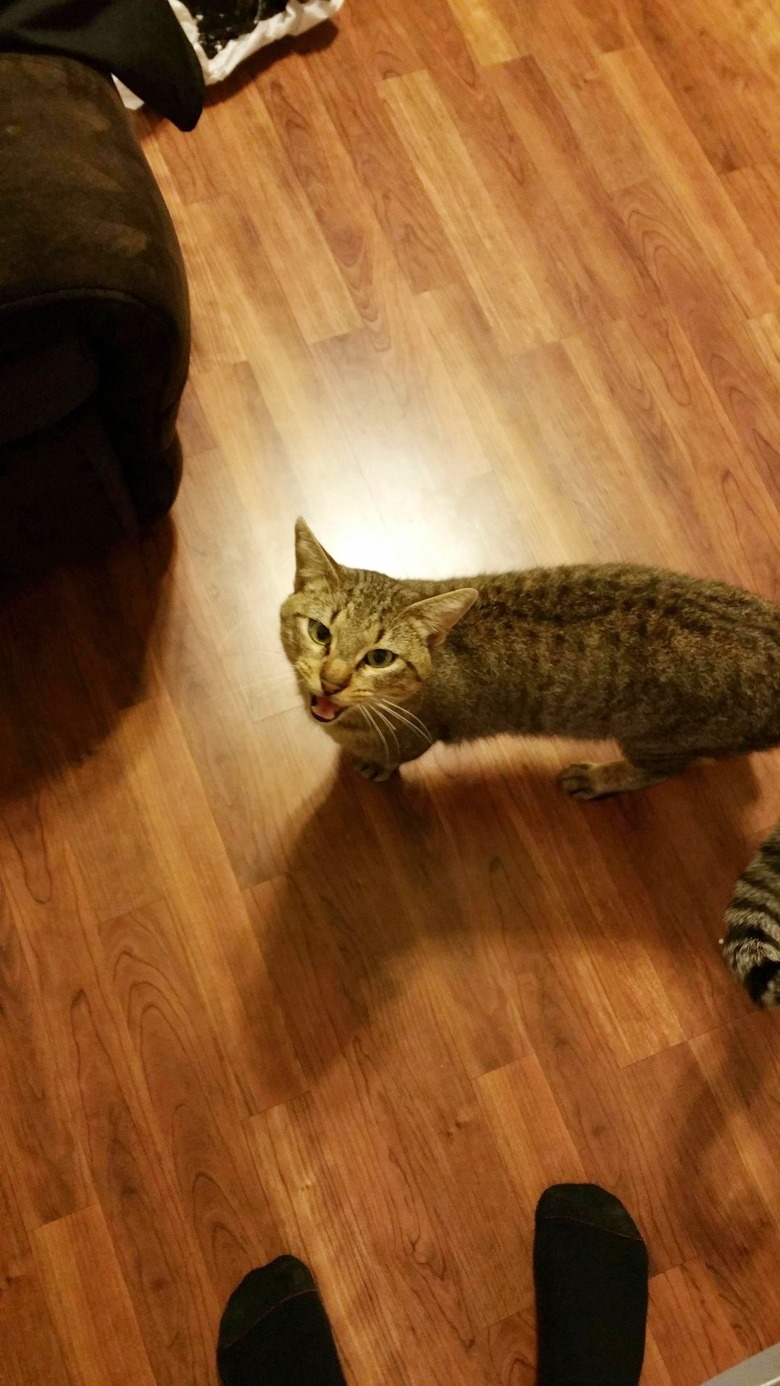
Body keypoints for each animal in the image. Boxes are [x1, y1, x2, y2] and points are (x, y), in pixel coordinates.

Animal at [284, 521, 780, 1009]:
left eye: (379, 657)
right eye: (320, 633)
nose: (331, 681)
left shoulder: (416, 734)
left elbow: (390, 754)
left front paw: (372, 763)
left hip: (655, 738)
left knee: (665, 768)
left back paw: (599, 777)